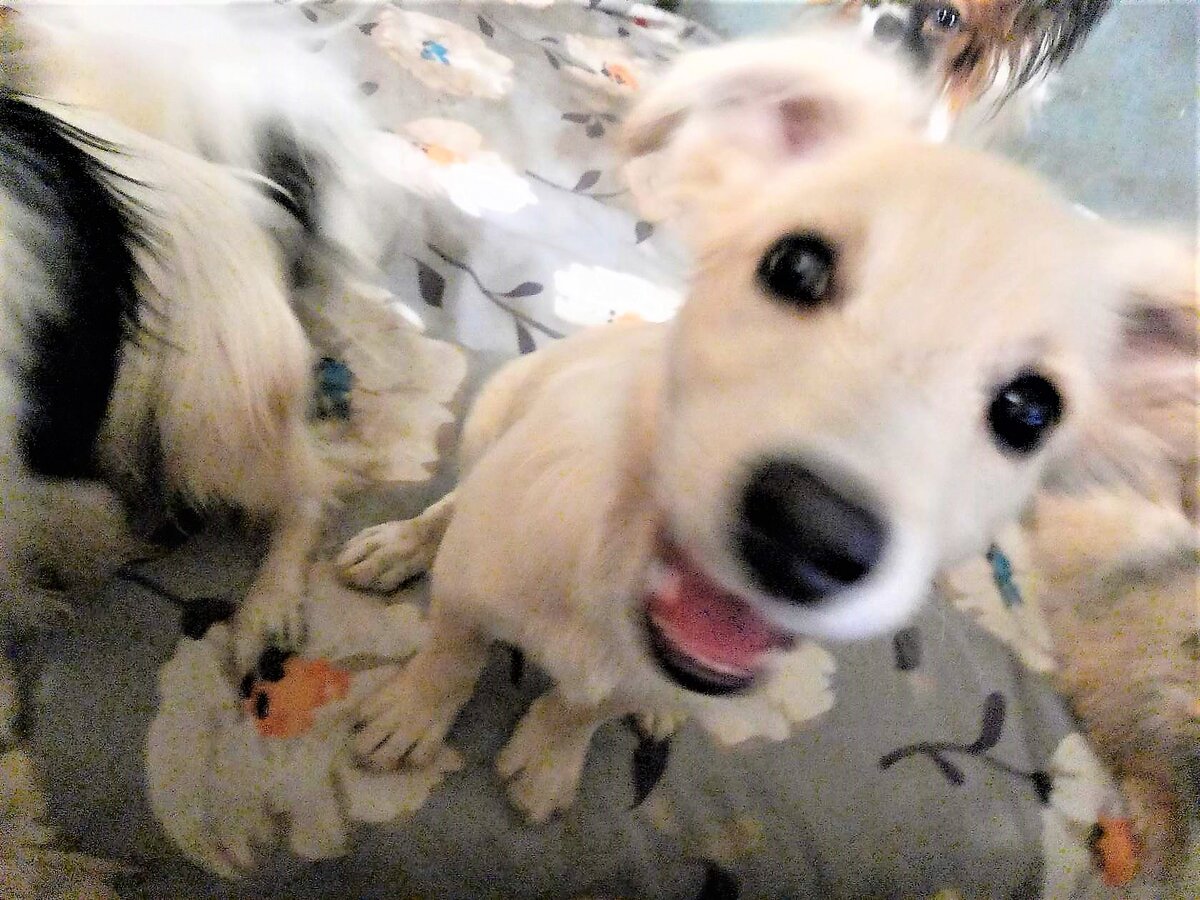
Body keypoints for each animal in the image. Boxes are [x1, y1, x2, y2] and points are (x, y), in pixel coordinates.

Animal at [339, 29, 1196, 824]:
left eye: (1029, 410)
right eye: (796, 266)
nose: (811, 535)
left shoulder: (672, 677)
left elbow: (588, 706)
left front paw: (553, 755)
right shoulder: (471, 585)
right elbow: (451, 654)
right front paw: (410, 716)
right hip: (497, 409)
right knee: (452, 503)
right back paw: (399, 546)